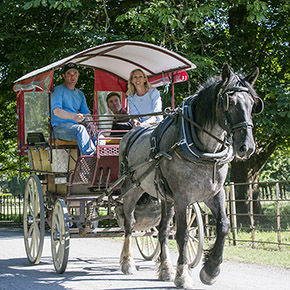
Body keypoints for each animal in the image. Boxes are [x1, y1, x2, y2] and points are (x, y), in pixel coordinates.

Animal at [117, 62, 262, 288]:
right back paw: (128, 263)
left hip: (165, 197)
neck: (204, 150)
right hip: (132, 189)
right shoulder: (182, 197)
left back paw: (165, 269)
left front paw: (211, 269)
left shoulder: (214, 193)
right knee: (129, 224)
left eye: (253, 103)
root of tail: (130, 134)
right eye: (229, 102)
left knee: (162, 229)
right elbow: (183, 234)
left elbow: (224, 226)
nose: (246, 147)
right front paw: (183, 274)